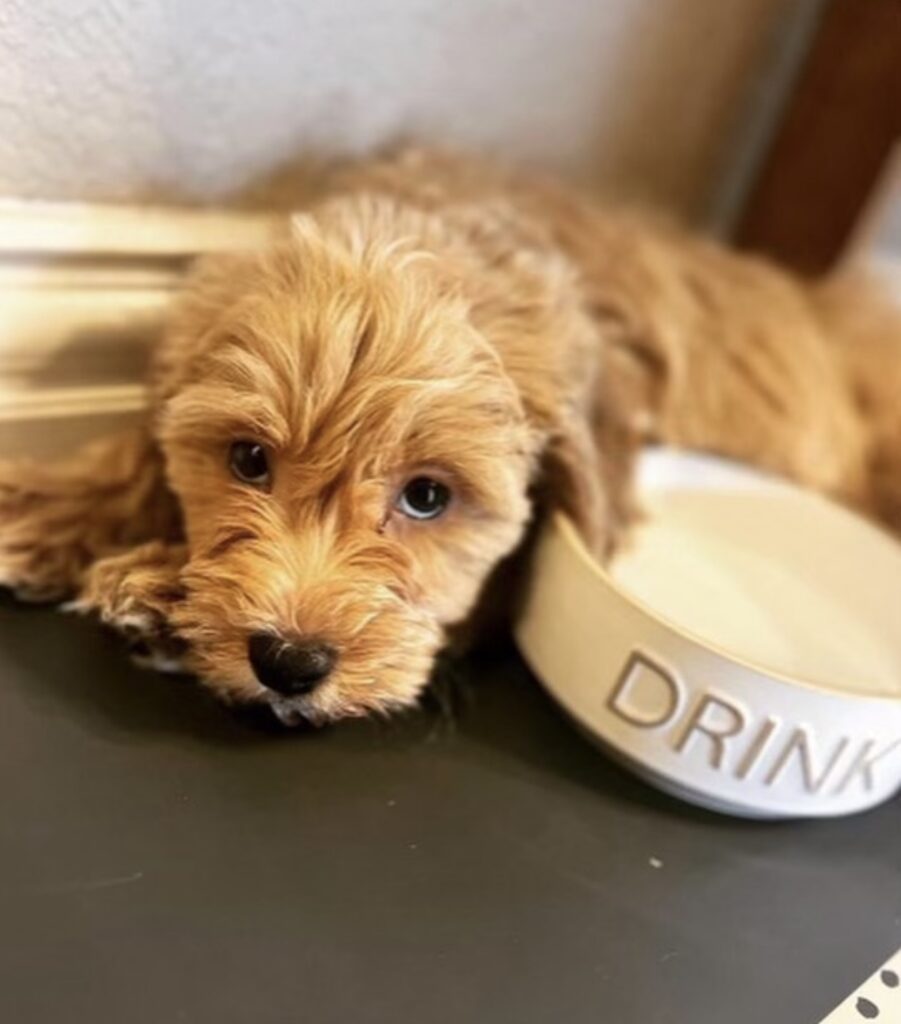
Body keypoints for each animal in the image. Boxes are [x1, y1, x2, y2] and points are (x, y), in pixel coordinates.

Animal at [1, 148, 901, 724]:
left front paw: (159, 591)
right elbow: (138, 448)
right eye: (248, 460)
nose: (289, 663)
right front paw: (49, 508)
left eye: (427, 496)